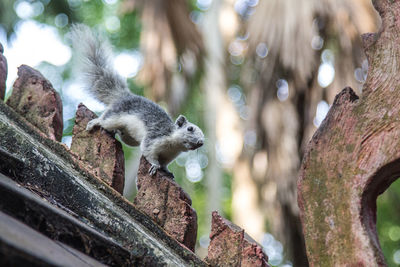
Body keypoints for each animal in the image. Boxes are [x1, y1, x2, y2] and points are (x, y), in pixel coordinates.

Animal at [69, 24, 205, 176]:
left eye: (204, 138)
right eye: (190, 128)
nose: (200, 142)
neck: (174, 145)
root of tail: (124, 96)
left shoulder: (168, 156)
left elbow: (164, 164)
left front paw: (166, 170)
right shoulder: (154, 139)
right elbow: (148, 152)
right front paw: (155, 166)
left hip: (129, 138)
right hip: (115, 115)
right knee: (105, 119)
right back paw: (95, 122)